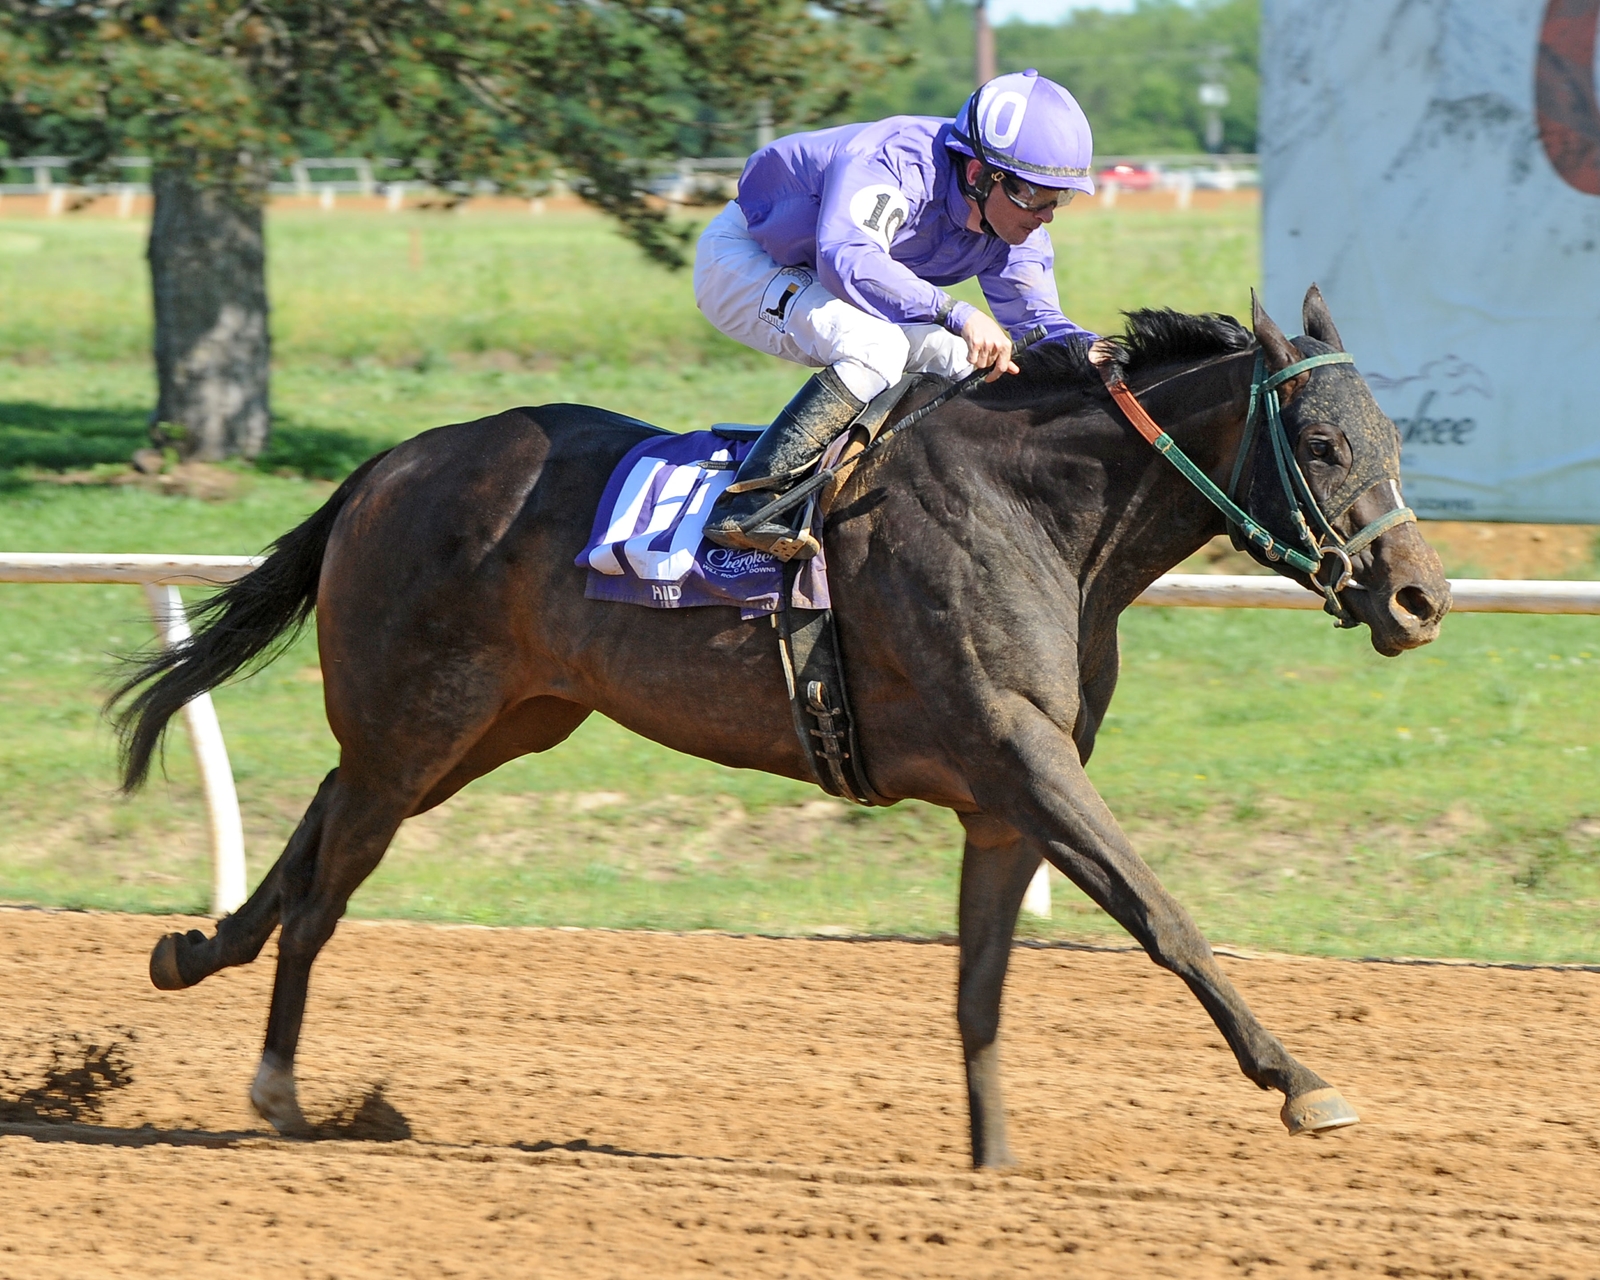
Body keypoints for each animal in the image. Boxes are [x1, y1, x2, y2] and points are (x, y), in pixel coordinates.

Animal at [116, 288, 1452, 1158]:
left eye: (1392, 437)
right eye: (1321, 440)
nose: (1418, 597)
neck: (1041, 514)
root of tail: (389, 465)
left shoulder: (1005, 791)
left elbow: (980, 986)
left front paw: (992, 1164)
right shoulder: (1020, 754)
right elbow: (1161, 913)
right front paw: (1301, 1082)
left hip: (496, 722)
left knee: (322, 816)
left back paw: (195, 949)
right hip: (421, 720)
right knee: (330, 880)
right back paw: (279, 1087)